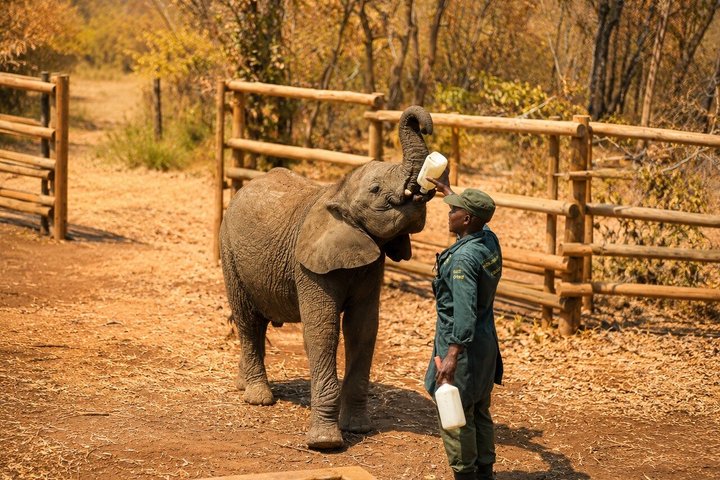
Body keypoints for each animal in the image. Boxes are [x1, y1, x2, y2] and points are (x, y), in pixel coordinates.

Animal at [220, 105, 435, 449]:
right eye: (375, 190)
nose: (424, 124)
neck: (339, 191)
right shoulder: (309, 267)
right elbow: (323, 331)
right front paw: (326, 444)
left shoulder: (371, 263)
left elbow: (363, 329)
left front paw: (358, 428)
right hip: (228, 249)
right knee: (247, 319)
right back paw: (258, 397)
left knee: (256, 321)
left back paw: (243, 384)